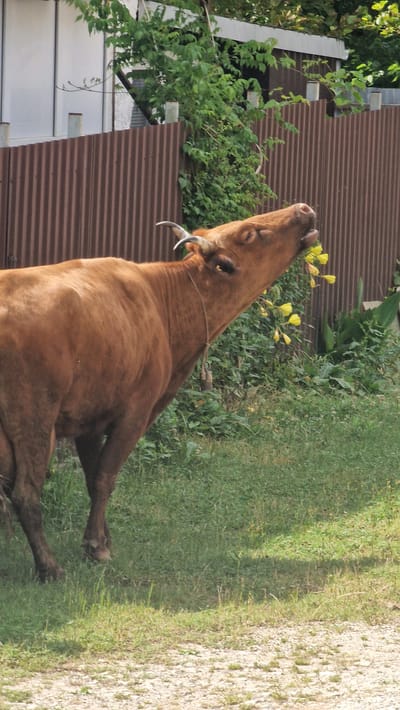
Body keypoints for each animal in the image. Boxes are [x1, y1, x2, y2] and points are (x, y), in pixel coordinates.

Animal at [0, 203, 318, 581]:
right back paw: (49, 567)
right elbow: (105, 476)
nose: (303, 208)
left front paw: (103, 538)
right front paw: (95, 546)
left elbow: (93, 477)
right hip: (33, 420)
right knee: (26, 494)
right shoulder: (135, 411)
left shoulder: (89, 418)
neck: (161, 300)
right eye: (251, 233)